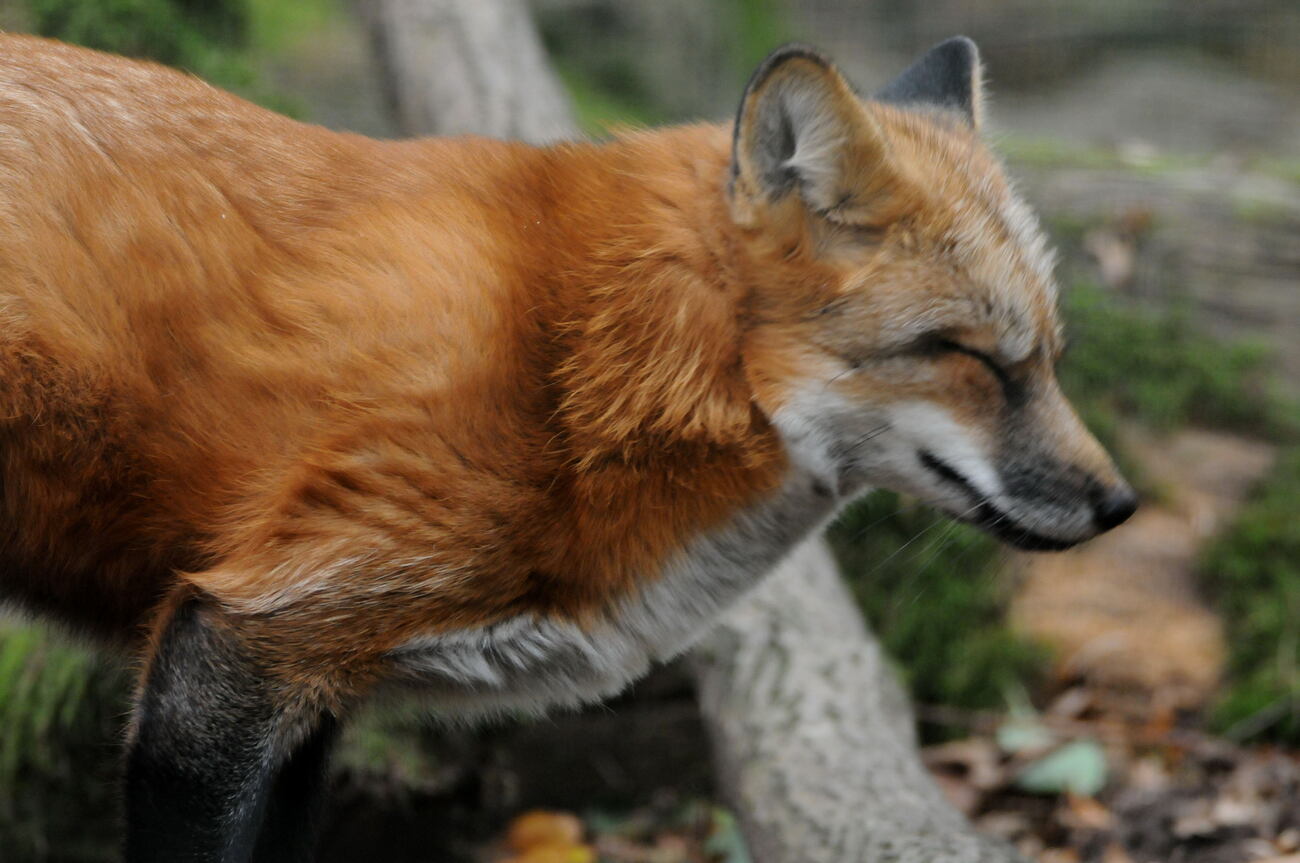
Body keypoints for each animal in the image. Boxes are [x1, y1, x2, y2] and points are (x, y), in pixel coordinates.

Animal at [0, 33, 1128, 863]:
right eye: (969, 355)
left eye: (1050, 357)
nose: (1118, 505)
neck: (572, 354)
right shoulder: (246, 637)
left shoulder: (317, 685)